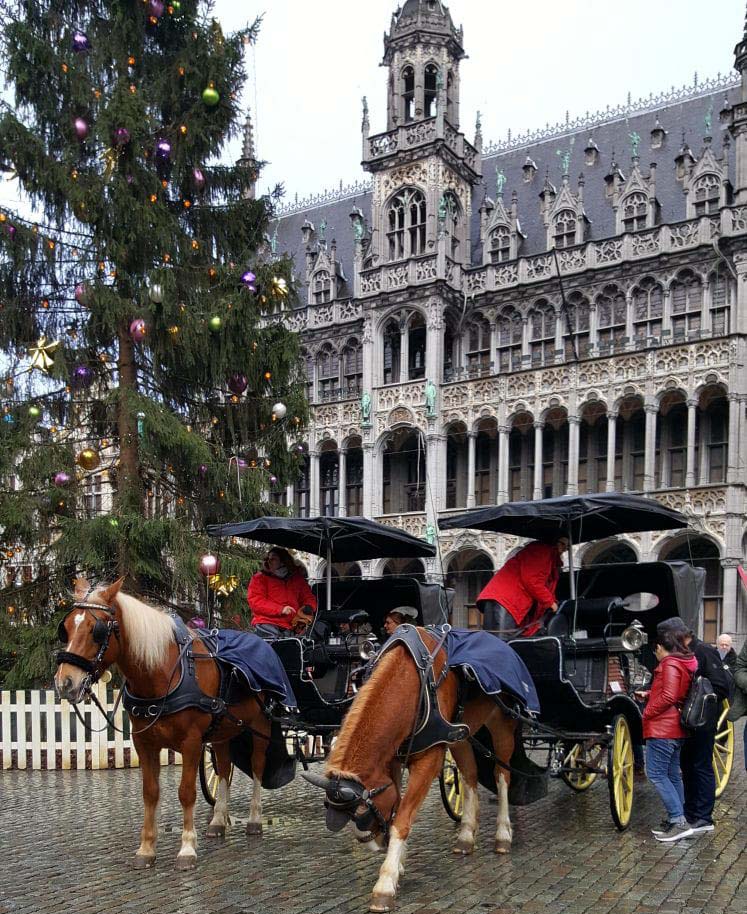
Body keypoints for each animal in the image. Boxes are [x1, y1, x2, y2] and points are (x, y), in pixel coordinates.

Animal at [55, 576, 272, 868]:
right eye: (66, 628)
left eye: (96, 630)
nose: (65, 682)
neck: (162, 672)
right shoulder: (144, 742)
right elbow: (150, 792)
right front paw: (146, 849)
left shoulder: (192, 742)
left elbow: (186, 792)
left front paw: (187, 848)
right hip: (222, 731)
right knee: (224, 768)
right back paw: (218, 821)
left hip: (261, 725)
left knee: (258, 766)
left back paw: (254, 818)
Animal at [304, 628, 520, 912]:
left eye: (363, 813)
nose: (376, 844)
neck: (412, 681)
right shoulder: (392, 760)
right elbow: (398, 804)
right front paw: (398, 865)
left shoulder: (429, 760)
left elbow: (403, 818)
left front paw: (386, 882)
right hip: (462, 735)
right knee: (470, 775)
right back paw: (465, 835)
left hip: (501, 723)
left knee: (502, 775)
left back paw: (503, 835)